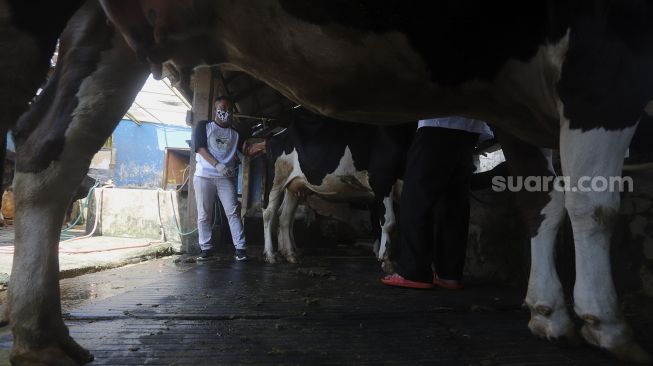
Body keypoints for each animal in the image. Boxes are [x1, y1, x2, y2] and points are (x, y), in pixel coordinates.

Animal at [262, 107, 410, 268]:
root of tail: (276, 134)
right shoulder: (382, 179)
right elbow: (388, 221)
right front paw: (385, 258)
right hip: (276, 180)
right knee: (269, 213)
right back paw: (271, 254)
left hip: (294, 186)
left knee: (285, 217)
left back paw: (291, 254)